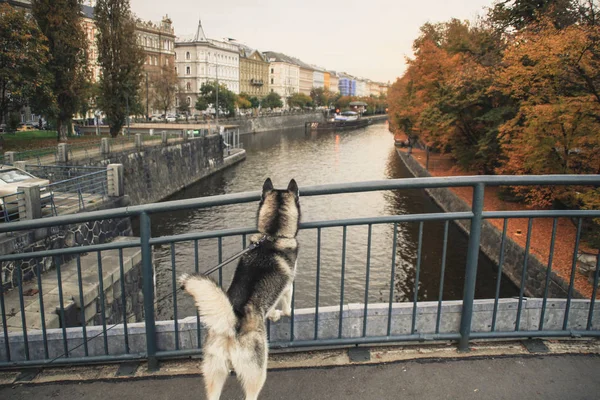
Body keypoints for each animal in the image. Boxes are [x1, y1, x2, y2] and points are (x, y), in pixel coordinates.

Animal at [178, 178, 300, 400]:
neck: (272, 236)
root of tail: (231, 323)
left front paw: (273, 315)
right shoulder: (288, 285)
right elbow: (287, 303)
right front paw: (284, 313)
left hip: (214, 372)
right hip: (257, 371)